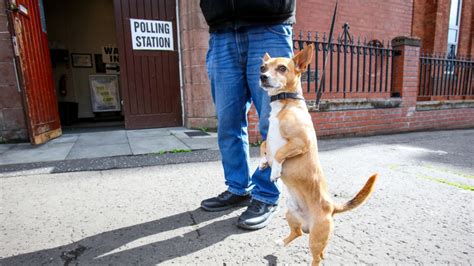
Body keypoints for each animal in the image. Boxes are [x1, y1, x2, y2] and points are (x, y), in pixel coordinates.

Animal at [260, 43, 378, 264]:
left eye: (282, 68)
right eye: (263, 67)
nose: (262, 76)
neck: (285, 104)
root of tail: (332, 207)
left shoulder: (301, 142)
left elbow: (280, 153)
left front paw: (274, 171)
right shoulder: (269, 139)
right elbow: (264, 145)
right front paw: (263, 162)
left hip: (316, 238)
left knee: (318, 257)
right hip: (291, 215)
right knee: (297, 233)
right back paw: (281, 242)